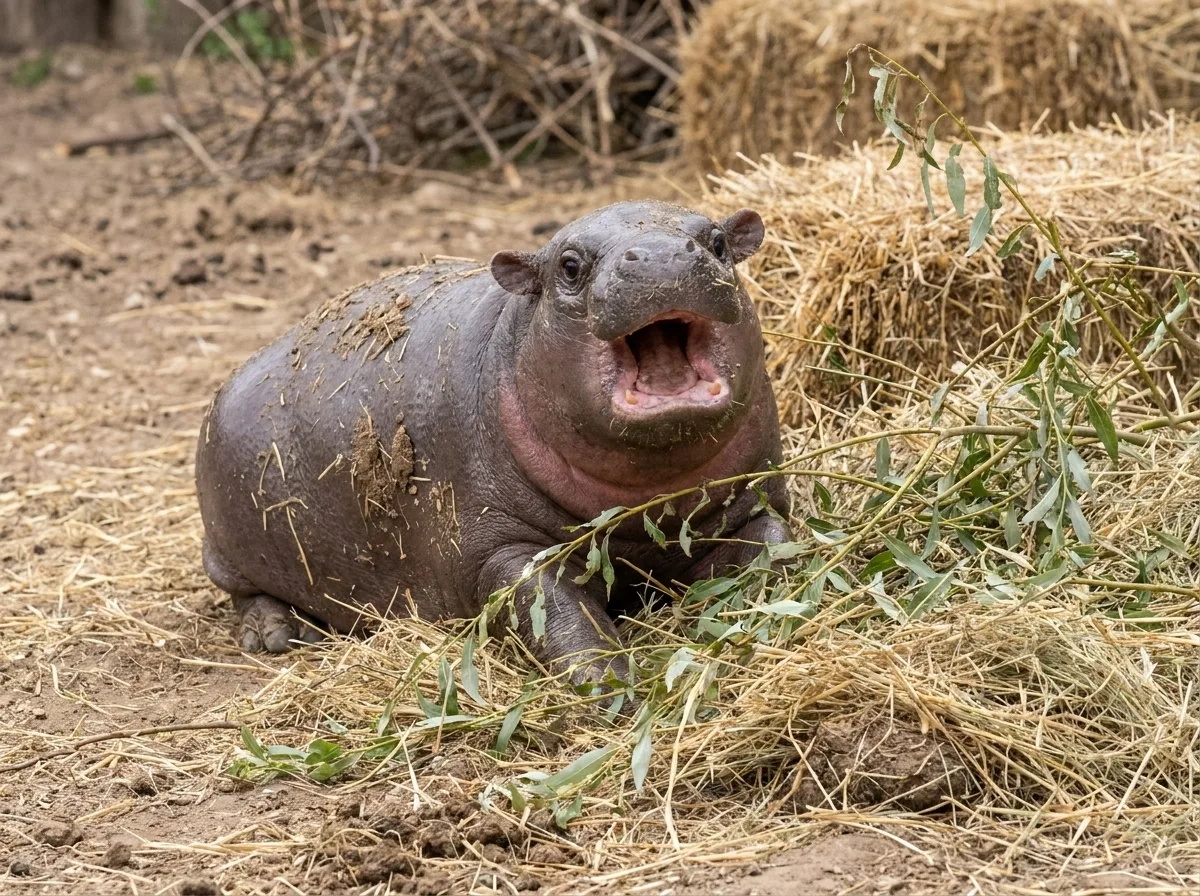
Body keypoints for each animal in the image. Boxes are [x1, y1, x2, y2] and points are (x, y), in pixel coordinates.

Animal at [195, 201, 792, 687]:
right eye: (569, 266)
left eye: (717, 243)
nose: (663, 258)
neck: (648, 503)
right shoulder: (498, 548)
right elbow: (554, 612)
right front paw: (608, 686)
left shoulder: (749, 500)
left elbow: (774, 545)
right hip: (231, 547)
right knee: (245, 593)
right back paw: (277, 635)